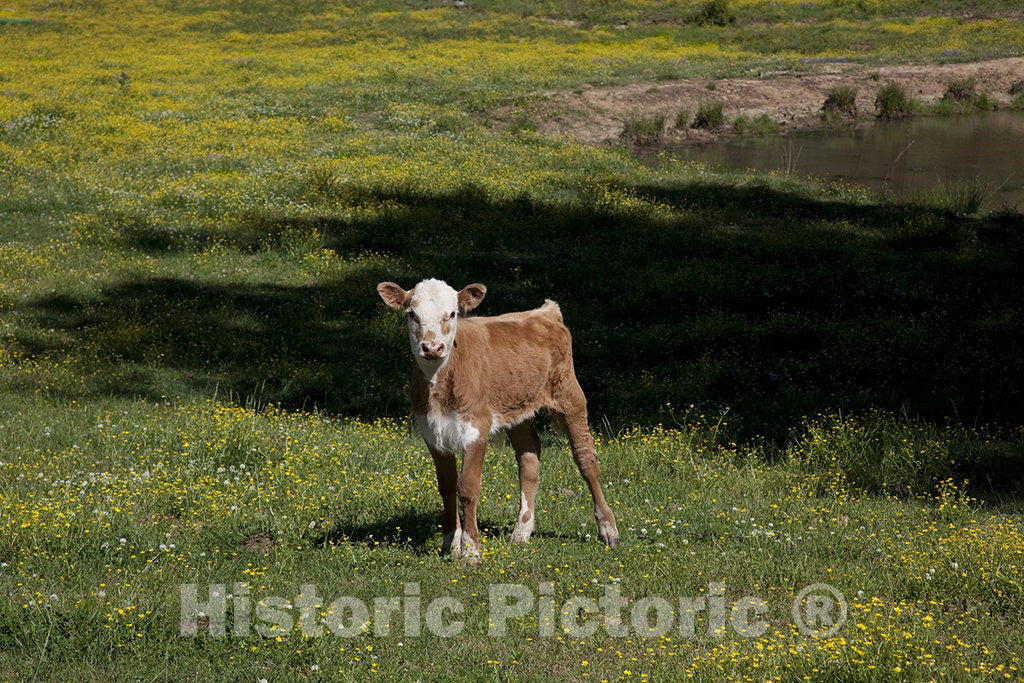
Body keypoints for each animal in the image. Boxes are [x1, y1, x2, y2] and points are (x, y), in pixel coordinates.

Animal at [374, 280, 618, 565]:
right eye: (411, 314)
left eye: (453, 314)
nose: (432, 347)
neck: (440, 384)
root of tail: (545, 312)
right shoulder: (432, 432)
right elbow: (446, 486)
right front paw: (449, 544)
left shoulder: (476, 428)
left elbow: (467, 487)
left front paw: (471, 550)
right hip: (516, 410)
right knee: (529, 457)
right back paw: (522, 531)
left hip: (570, 396)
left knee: (586, 459)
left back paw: (608, 529)